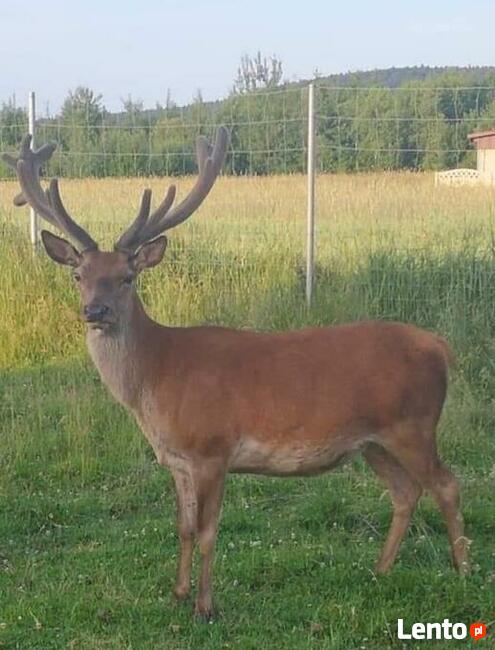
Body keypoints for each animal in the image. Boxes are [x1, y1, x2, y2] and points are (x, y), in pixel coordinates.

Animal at [2, 130, 468, 616]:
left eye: (128, 276)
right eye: (78, 275)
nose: (95, 311)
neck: (155, 376)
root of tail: (440, 347)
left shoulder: (212, 449)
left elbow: (209, 530)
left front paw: (205, 606)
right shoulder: (177, 460)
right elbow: (184, 527)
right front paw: (178, 592)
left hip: (414, 425)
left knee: (447, 484)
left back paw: (463, 571)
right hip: (373, 441)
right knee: (406, 492)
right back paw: (381, 569)